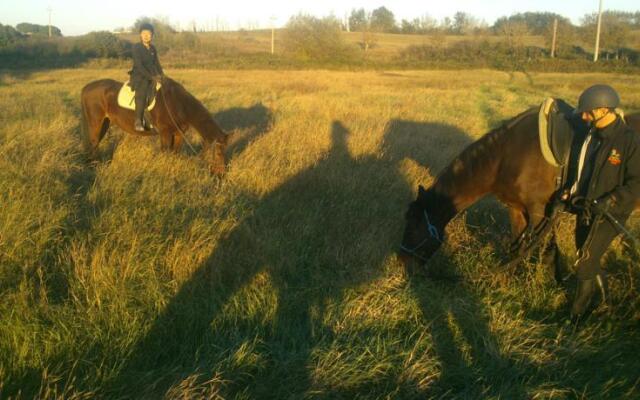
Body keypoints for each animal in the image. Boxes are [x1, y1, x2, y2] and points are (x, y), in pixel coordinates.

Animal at [79, 77, 229, 174]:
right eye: (219, 153)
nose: (221, 174)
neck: (178, 103)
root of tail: (86, 88)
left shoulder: (178, 134)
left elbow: (175, 153)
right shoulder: (165, 133)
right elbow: (166, 153)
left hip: (104, 122)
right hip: (96, 122)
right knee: (93, 142)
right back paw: (93, 166)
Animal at [400, 108, 640, 272]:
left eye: (412, 227)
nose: (404, 263)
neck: (505, 157)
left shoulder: (539, 211)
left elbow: (538, 248)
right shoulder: (516, 208)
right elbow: (516, 245)